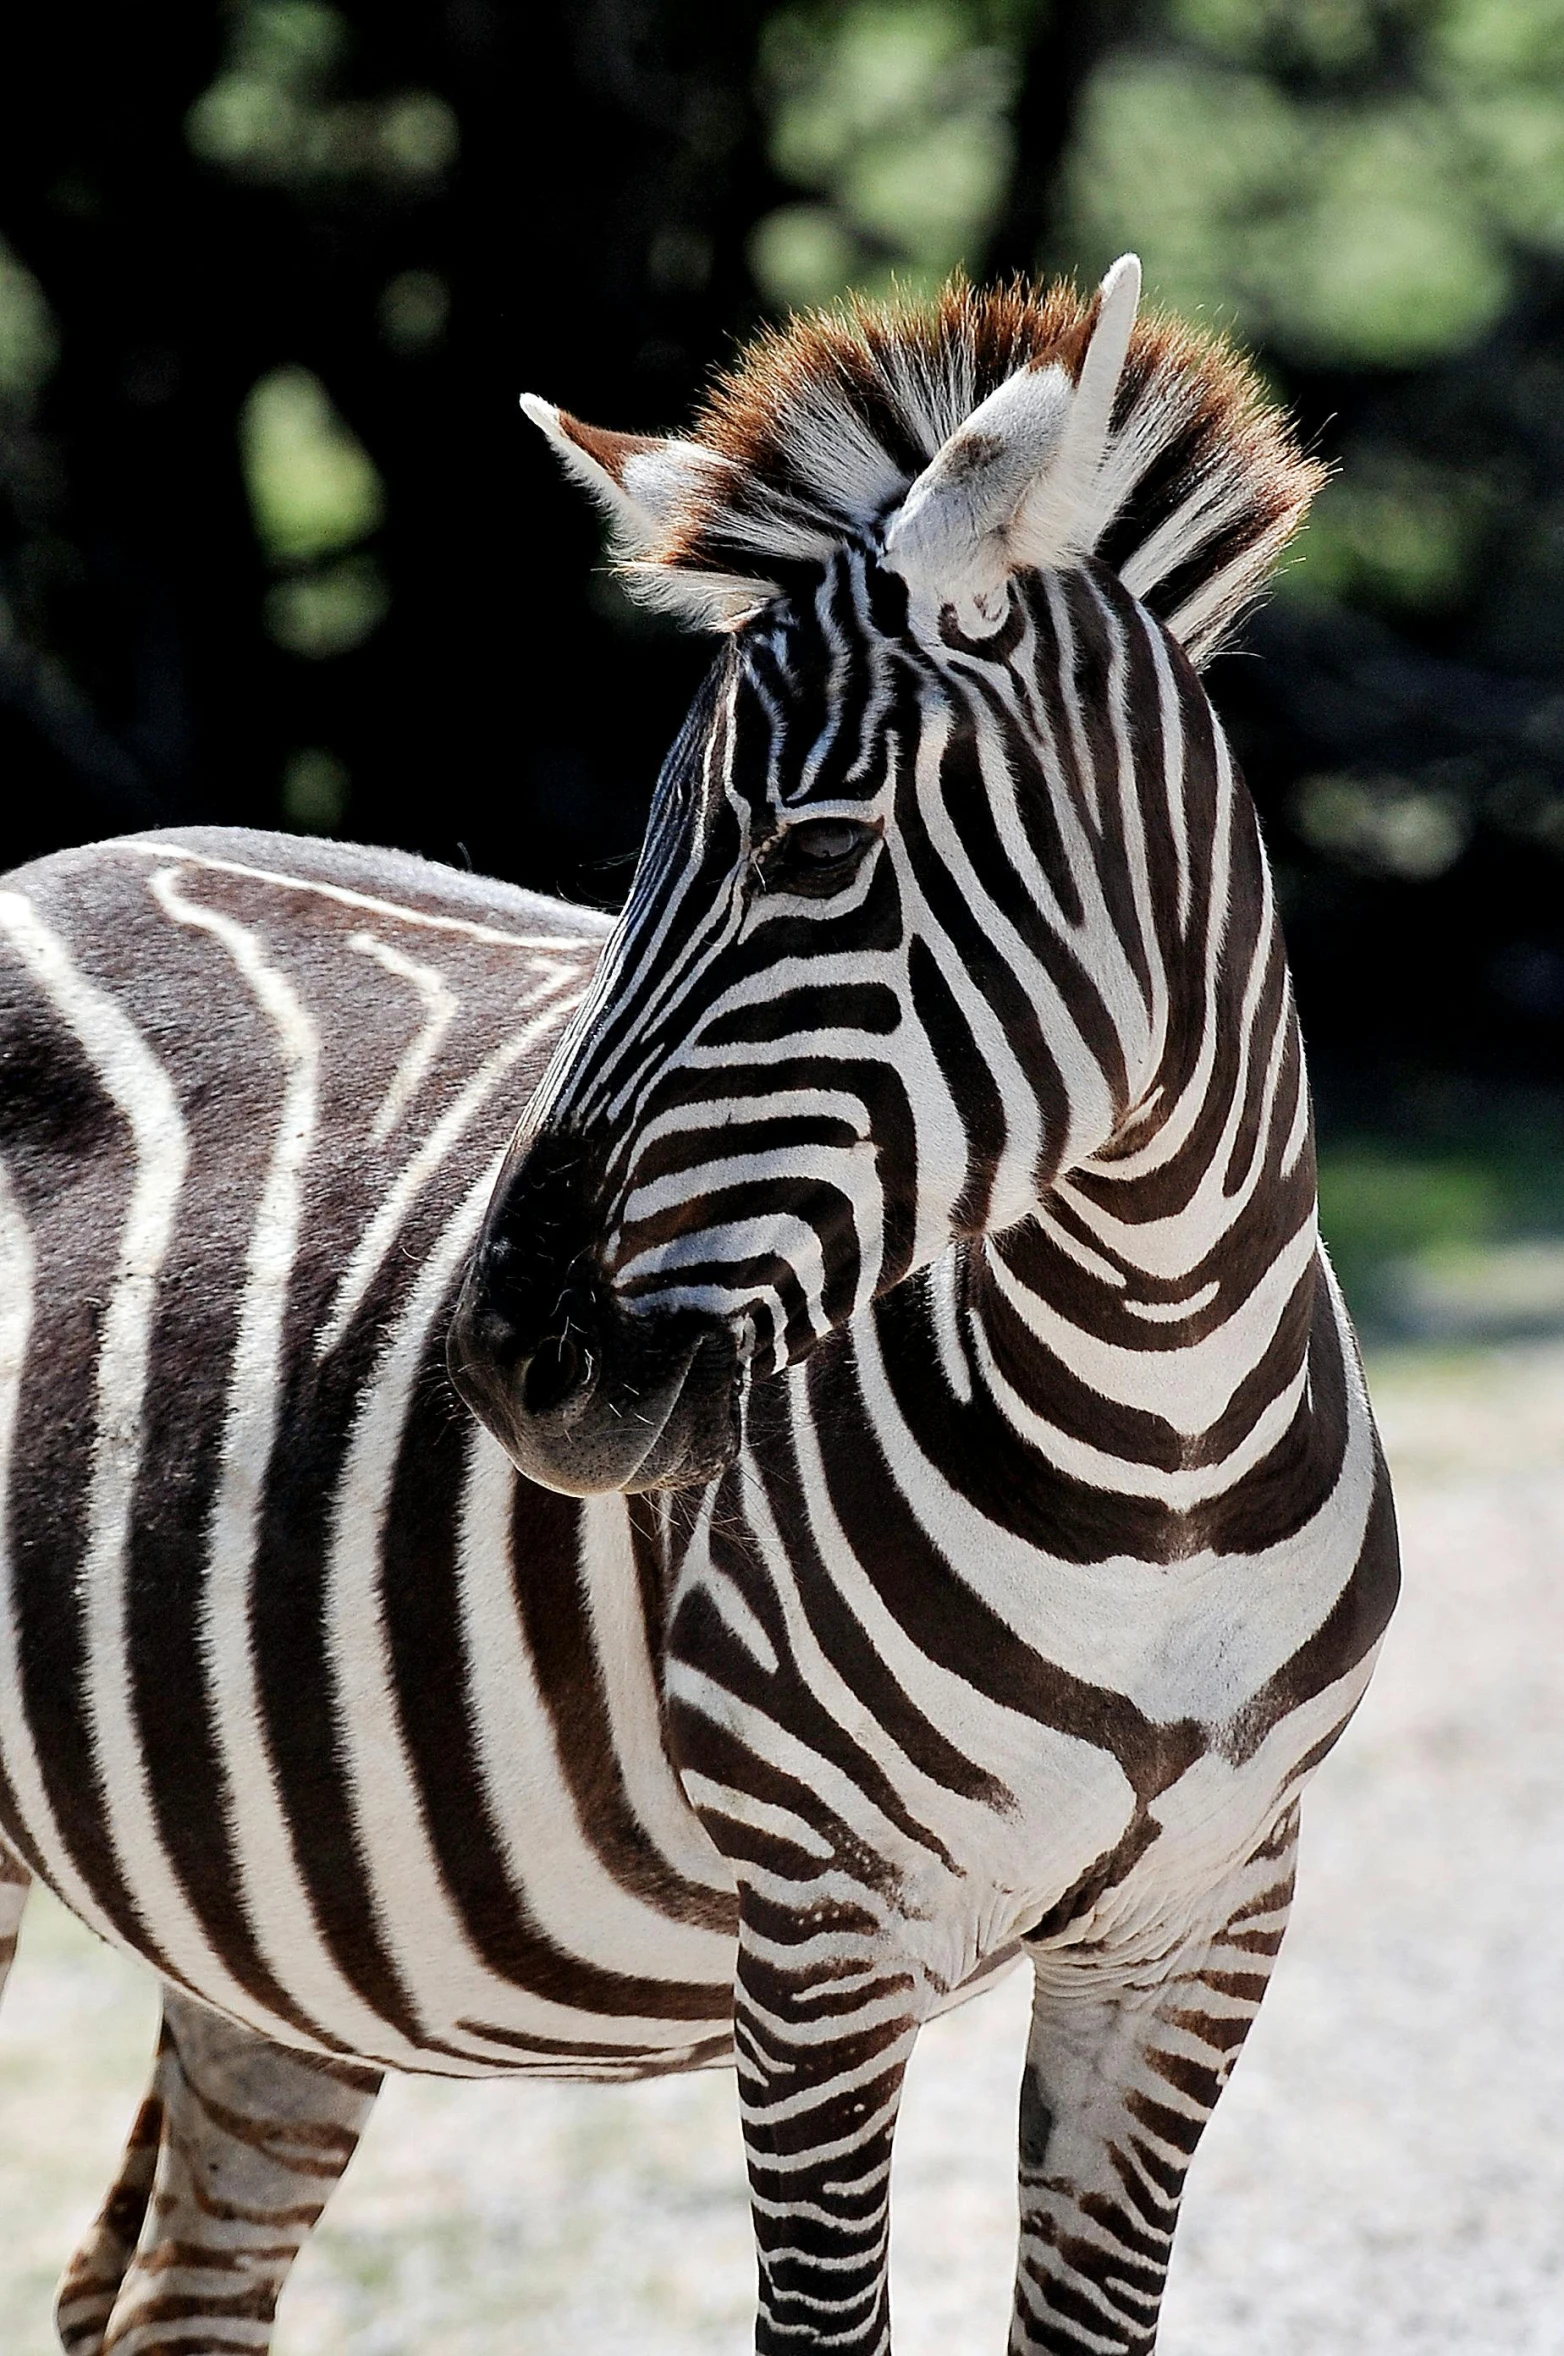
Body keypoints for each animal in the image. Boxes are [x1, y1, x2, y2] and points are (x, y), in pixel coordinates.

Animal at [0, 257, 1394, 2356]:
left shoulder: (1202, 1930)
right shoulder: (819, 1936)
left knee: (170, 2290)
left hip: (263, 1925)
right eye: (637, 858)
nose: (517, 1367)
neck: (1162, 1449)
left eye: (811, 852)